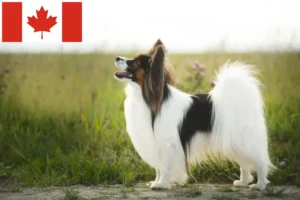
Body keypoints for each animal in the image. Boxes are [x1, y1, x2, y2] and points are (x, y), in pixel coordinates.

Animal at [113, 39, 276, 191]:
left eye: (134, 62)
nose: (116, 57)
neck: (146, 97)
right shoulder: (156, 143)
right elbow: (158, 168)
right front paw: (156, 182)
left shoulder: (168, 145)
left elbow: (164, 167)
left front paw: (162, 185)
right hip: (233, 143)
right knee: (244, 163)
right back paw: (243, 182)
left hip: (243, 141)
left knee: (260, 162)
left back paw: (260, 185)